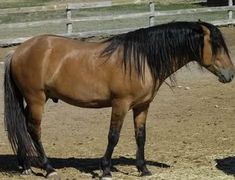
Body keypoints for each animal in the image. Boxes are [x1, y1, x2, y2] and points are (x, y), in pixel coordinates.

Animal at [3, 21, 235, 179]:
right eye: (216, 45)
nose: (230, 74)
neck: (142, 60)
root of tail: (18, 51)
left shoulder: (142, 106)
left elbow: (141, 136)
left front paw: (143, 169)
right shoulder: (120, 104)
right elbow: (113, 136)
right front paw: (105, 169)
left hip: (30, 101)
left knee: (23, 128)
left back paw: (25, 166)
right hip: (36, 99)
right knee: (34, 130)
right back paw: (48, 168)